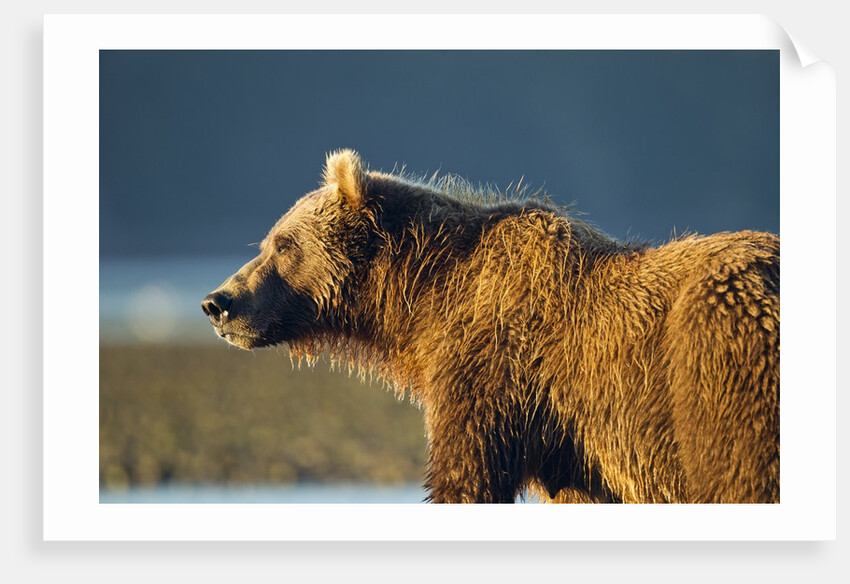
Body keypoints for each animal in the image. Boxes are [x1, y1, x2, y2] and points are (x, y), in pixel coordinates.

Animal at [202, 149, 780, 504]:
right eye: (268, 241)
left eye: (284, 245)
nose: (218, 302)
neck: (425, 299)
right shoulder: (573, 448)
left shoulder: (497, 365)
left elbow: (466, 474)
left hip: (715, 361)